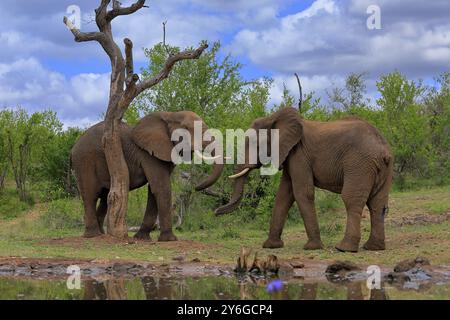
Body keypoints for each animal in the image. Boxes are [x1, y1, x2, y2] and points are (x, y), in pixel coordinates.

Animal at [71, 111, 224, 241]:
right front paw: (169, 239)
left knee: (104, 196)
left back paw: (102, 234)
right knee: (90, 195)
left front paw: (142, 238)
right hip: (84, 161)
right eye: (186, 128)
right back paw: (93, 235)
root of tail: (74, 145)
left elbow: (154, 190)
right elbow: (161, 187)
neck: (170, 115)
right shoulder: (148, 154)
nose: (197, 187)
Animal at [214, 107, 394, 252]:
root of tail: (383, 148)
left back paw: (344, 249)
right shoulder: (290, 156)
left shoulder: (299, 154)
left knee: (351, 199)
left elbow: (302, 193)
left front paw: (312, 248)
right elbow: (283, 195)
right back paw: (373, 247)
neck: (274, 118)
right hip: (383, 168)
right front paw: (271, 246)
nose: (215, 212)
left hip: (359, 164)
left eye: (253, 143)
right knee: (378, 203)